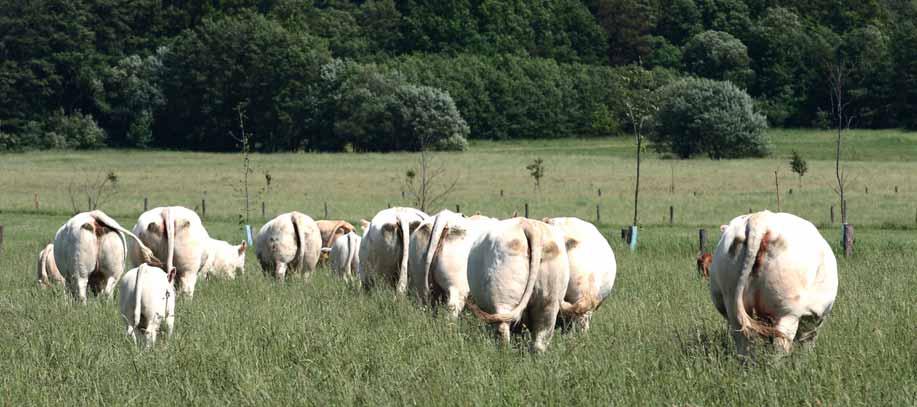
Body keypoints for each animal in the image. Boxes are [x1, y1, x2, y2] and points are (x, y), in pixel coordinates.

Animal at [468, 218, 568, 352]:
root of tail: (527, 224)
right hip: (550, 300)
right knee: (541, 337)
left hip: (503, 296)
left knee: (503, 329)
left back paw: (503, 352)